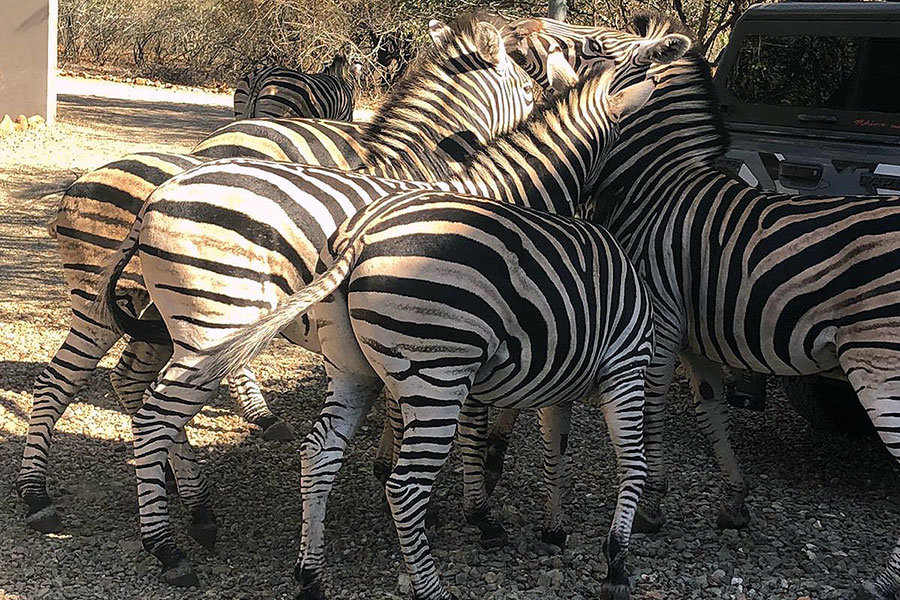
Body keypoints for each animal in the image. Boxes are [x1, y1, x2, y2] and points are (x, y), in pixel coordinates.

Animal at [100, 67, 660, 596]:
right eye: (526, 87)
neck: (491, 195)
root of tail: (158, 196)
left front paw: (406, 479)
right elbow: (466, 430)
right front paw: (473, 511)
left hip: (173, 324)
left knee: (135, 389)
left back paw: (192, 508)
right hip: (214, 323)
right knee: (153, 413)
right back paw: (167, 545)